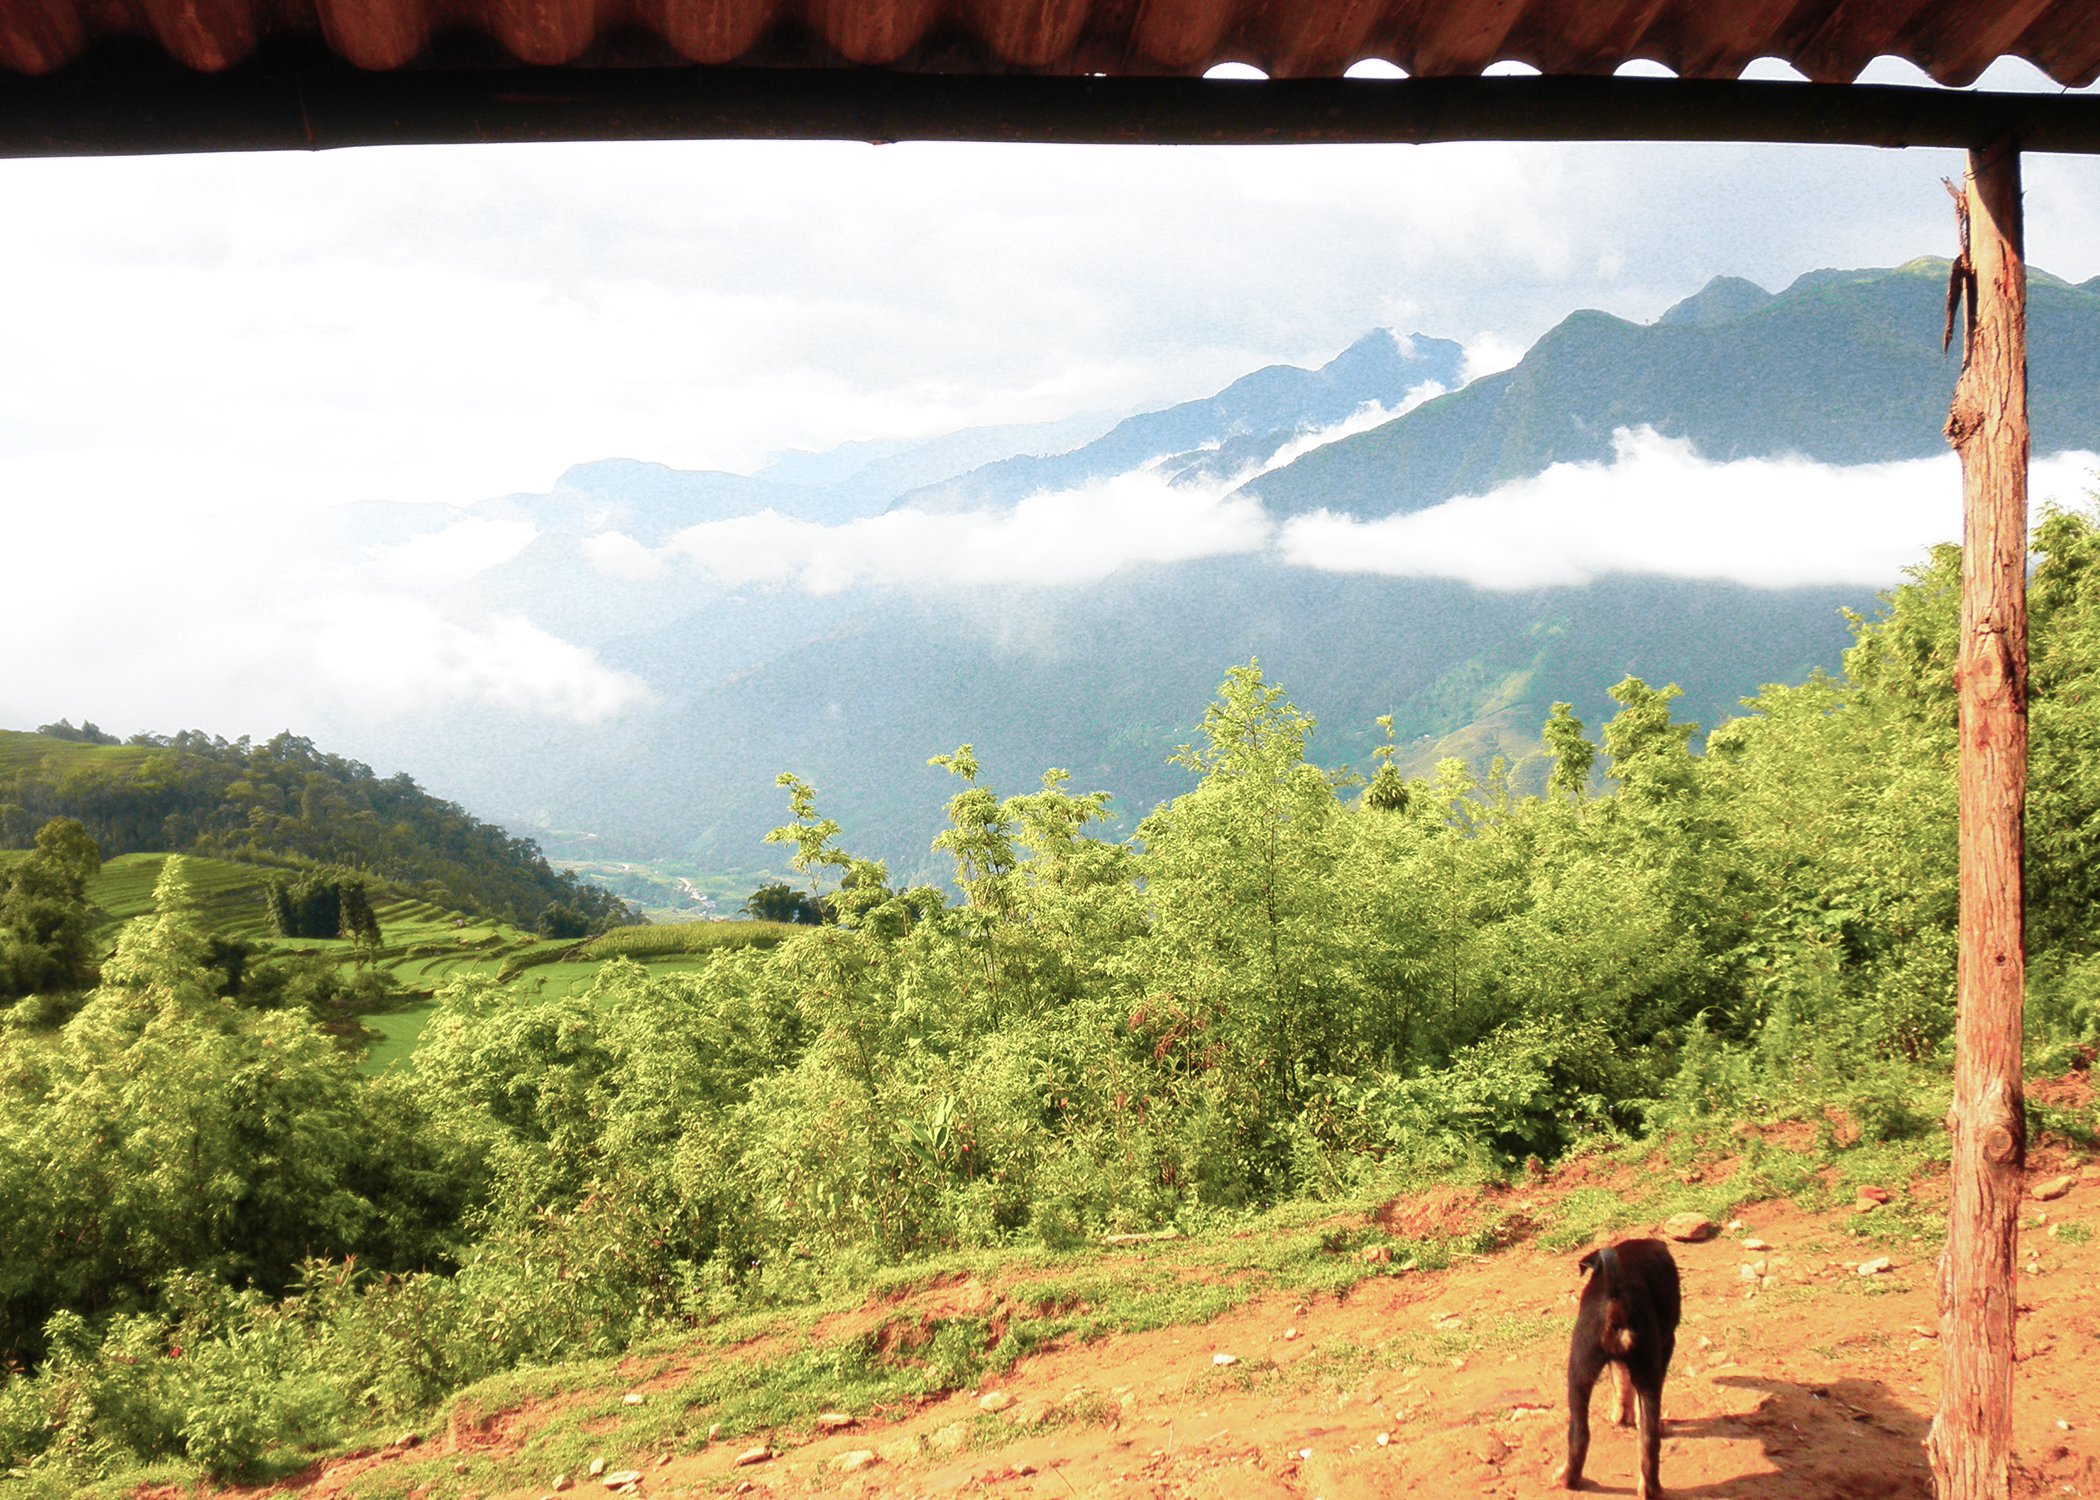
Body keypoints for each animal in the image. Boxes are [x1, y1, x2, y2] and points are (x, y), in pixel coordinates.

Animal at [1570, 1235, 1679, 1487]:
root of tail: (1616, 1298)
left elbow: (1620, 1382)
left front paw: (1620, 1418)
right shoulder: (1667, 1343)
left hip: (1579, 1368)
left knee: (1581, 1434)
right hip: (1650, 1364)